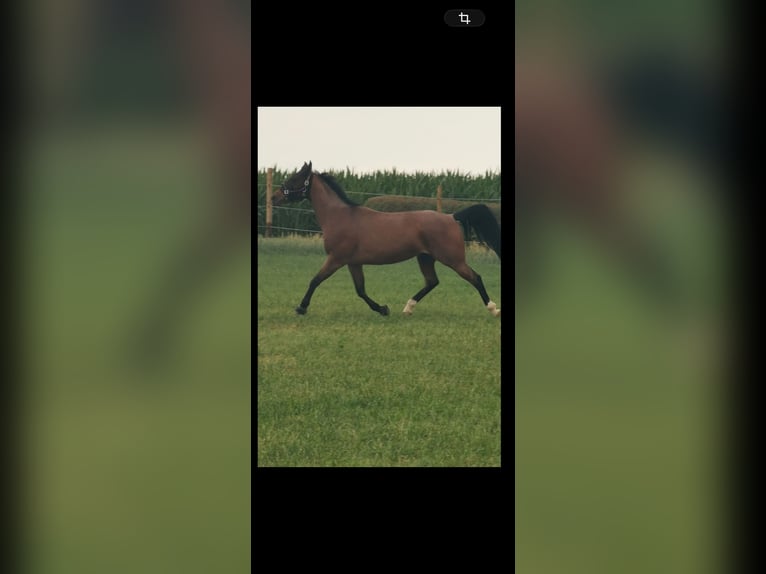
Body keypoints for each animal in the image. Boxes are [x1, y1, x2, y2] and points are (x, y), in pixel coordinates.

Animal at [272, 162, 502, 317]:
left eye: (294, 179)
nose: (274, 197)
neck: (340, 216)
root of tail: (451, 217)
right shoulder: (353, 262)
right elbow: (360, 290)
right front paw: (382, 308)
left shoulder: (336, 259)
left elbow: (315, 280)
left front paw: (301, 307)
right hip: (425, 257)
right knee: (432, 282)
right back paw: (408, 308)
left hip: (452, 259)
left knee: (475, 278)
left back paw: (493, 309)